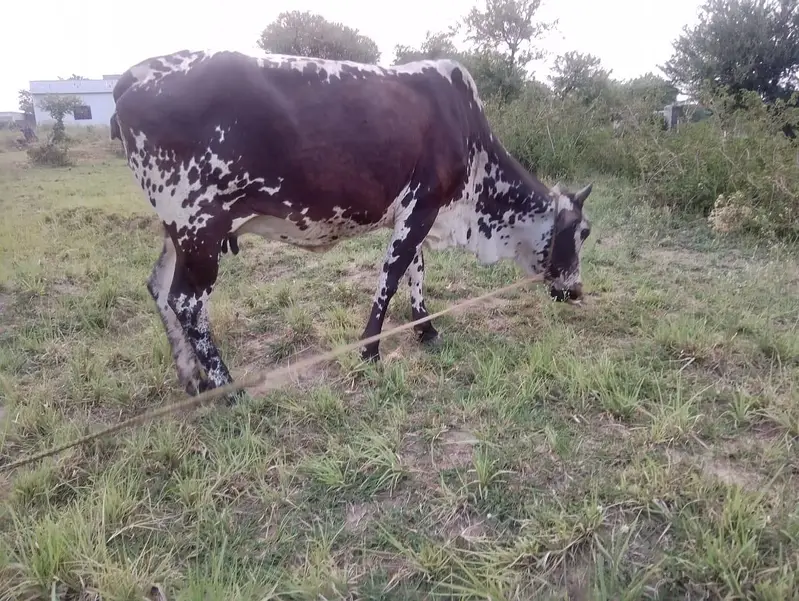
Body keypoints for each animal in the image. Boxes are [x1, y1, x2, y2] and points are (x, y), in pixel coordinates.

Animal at [110, 49, 593, 400]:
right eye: (584, 233)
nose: (577, 291)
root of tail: (134, 75)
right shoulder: (422, 205)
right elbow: (391, 276)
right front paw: (370, 349)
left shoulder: (416, 212)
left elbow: (416, 271)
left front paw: (425, 330)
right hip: (200, 226)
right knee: (186, 301)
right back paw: (227, 388)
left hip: (179, 233)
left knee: (159, 288)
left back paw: (193, 380)